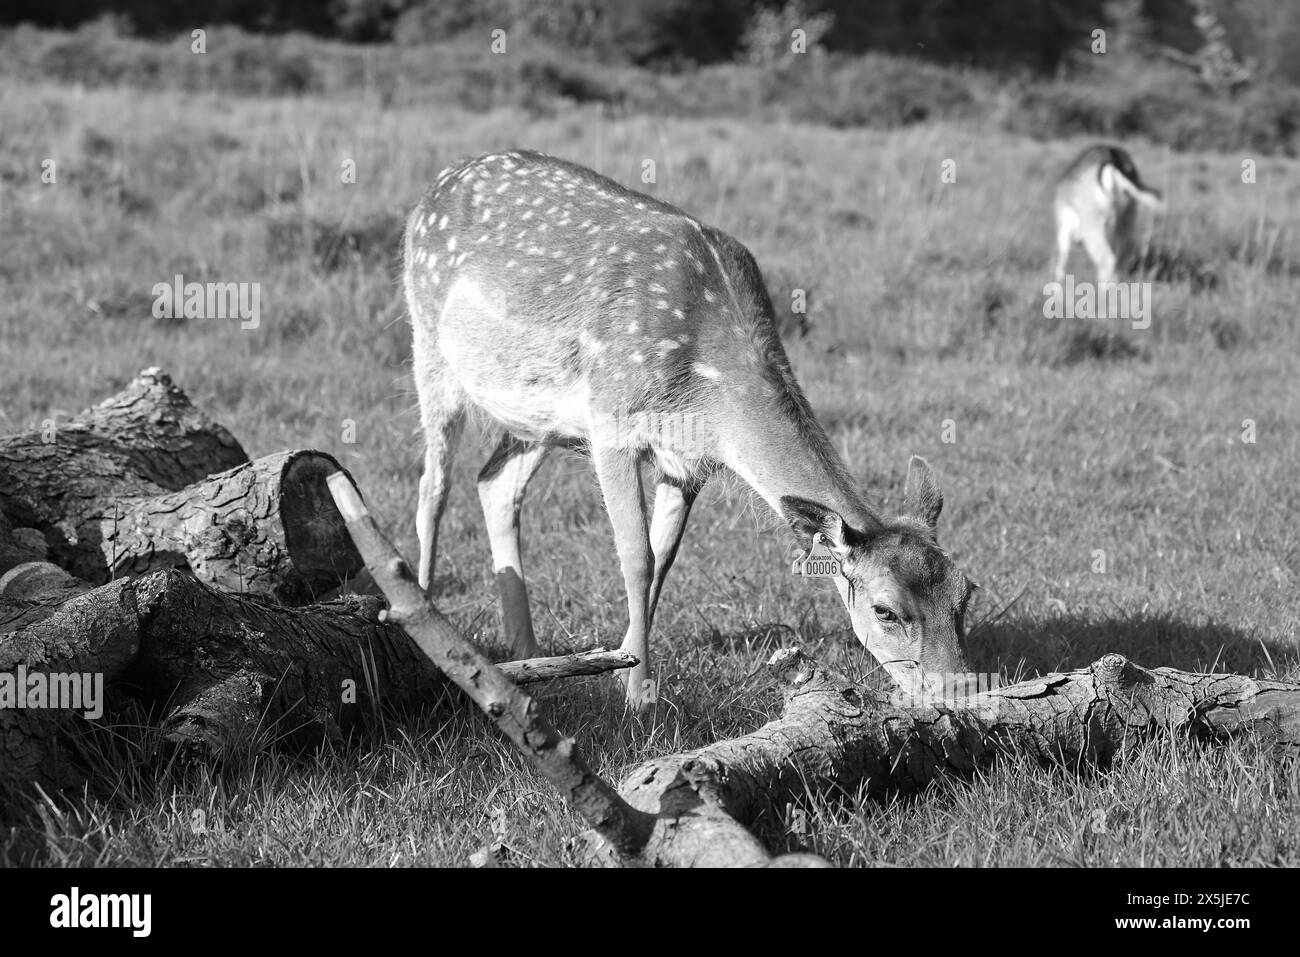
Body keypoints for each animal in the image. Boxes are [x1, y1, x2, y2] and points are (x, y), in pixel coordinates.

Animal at [403, 150, 976, 708]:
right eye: (886, 610)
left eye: (965, 592)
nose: (959, 689)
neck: (707, 396)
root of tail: (434, 188)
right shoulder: (610, 420)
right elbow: (637, 558)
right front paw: (637, 699)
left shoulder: (689, 461)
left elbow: (663, 561)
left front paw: (623, 672)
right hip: (429, 345)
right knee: (433, 486)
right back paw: (426, 620)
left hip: (537, 416)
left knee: (494, 482)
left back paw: (526, 647)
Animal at [1051, 144, 1164, 285]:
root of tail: (1111, 157)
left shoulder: (1063, 229)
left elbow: (1061, 257)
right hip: (1126, 222)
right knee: (1120, 261)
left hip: (1093, 226)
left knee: (1107, 261)